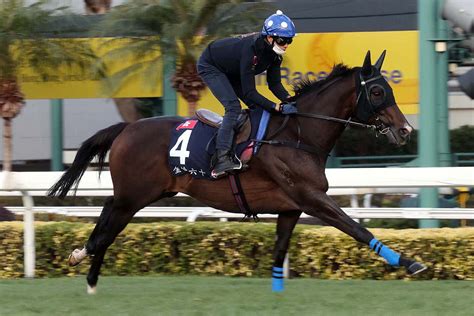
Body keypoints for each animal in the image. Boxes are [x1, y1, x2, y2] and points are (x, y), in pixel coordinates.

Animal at [48, 50, 426, 294]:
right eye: (376, 91)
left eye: (388, 89)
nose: (405, 130)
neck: (297, 135)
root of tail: (127, 128)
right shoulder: (312, 198)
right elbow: (357, 228)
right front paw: (410, 263)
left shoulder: (291, 207)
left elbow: (280, 249)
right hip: (135, 194)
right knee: (108, 226)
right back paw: (84, 261)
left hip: (142, 194)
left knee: (108, 220)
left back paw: (89, 272)